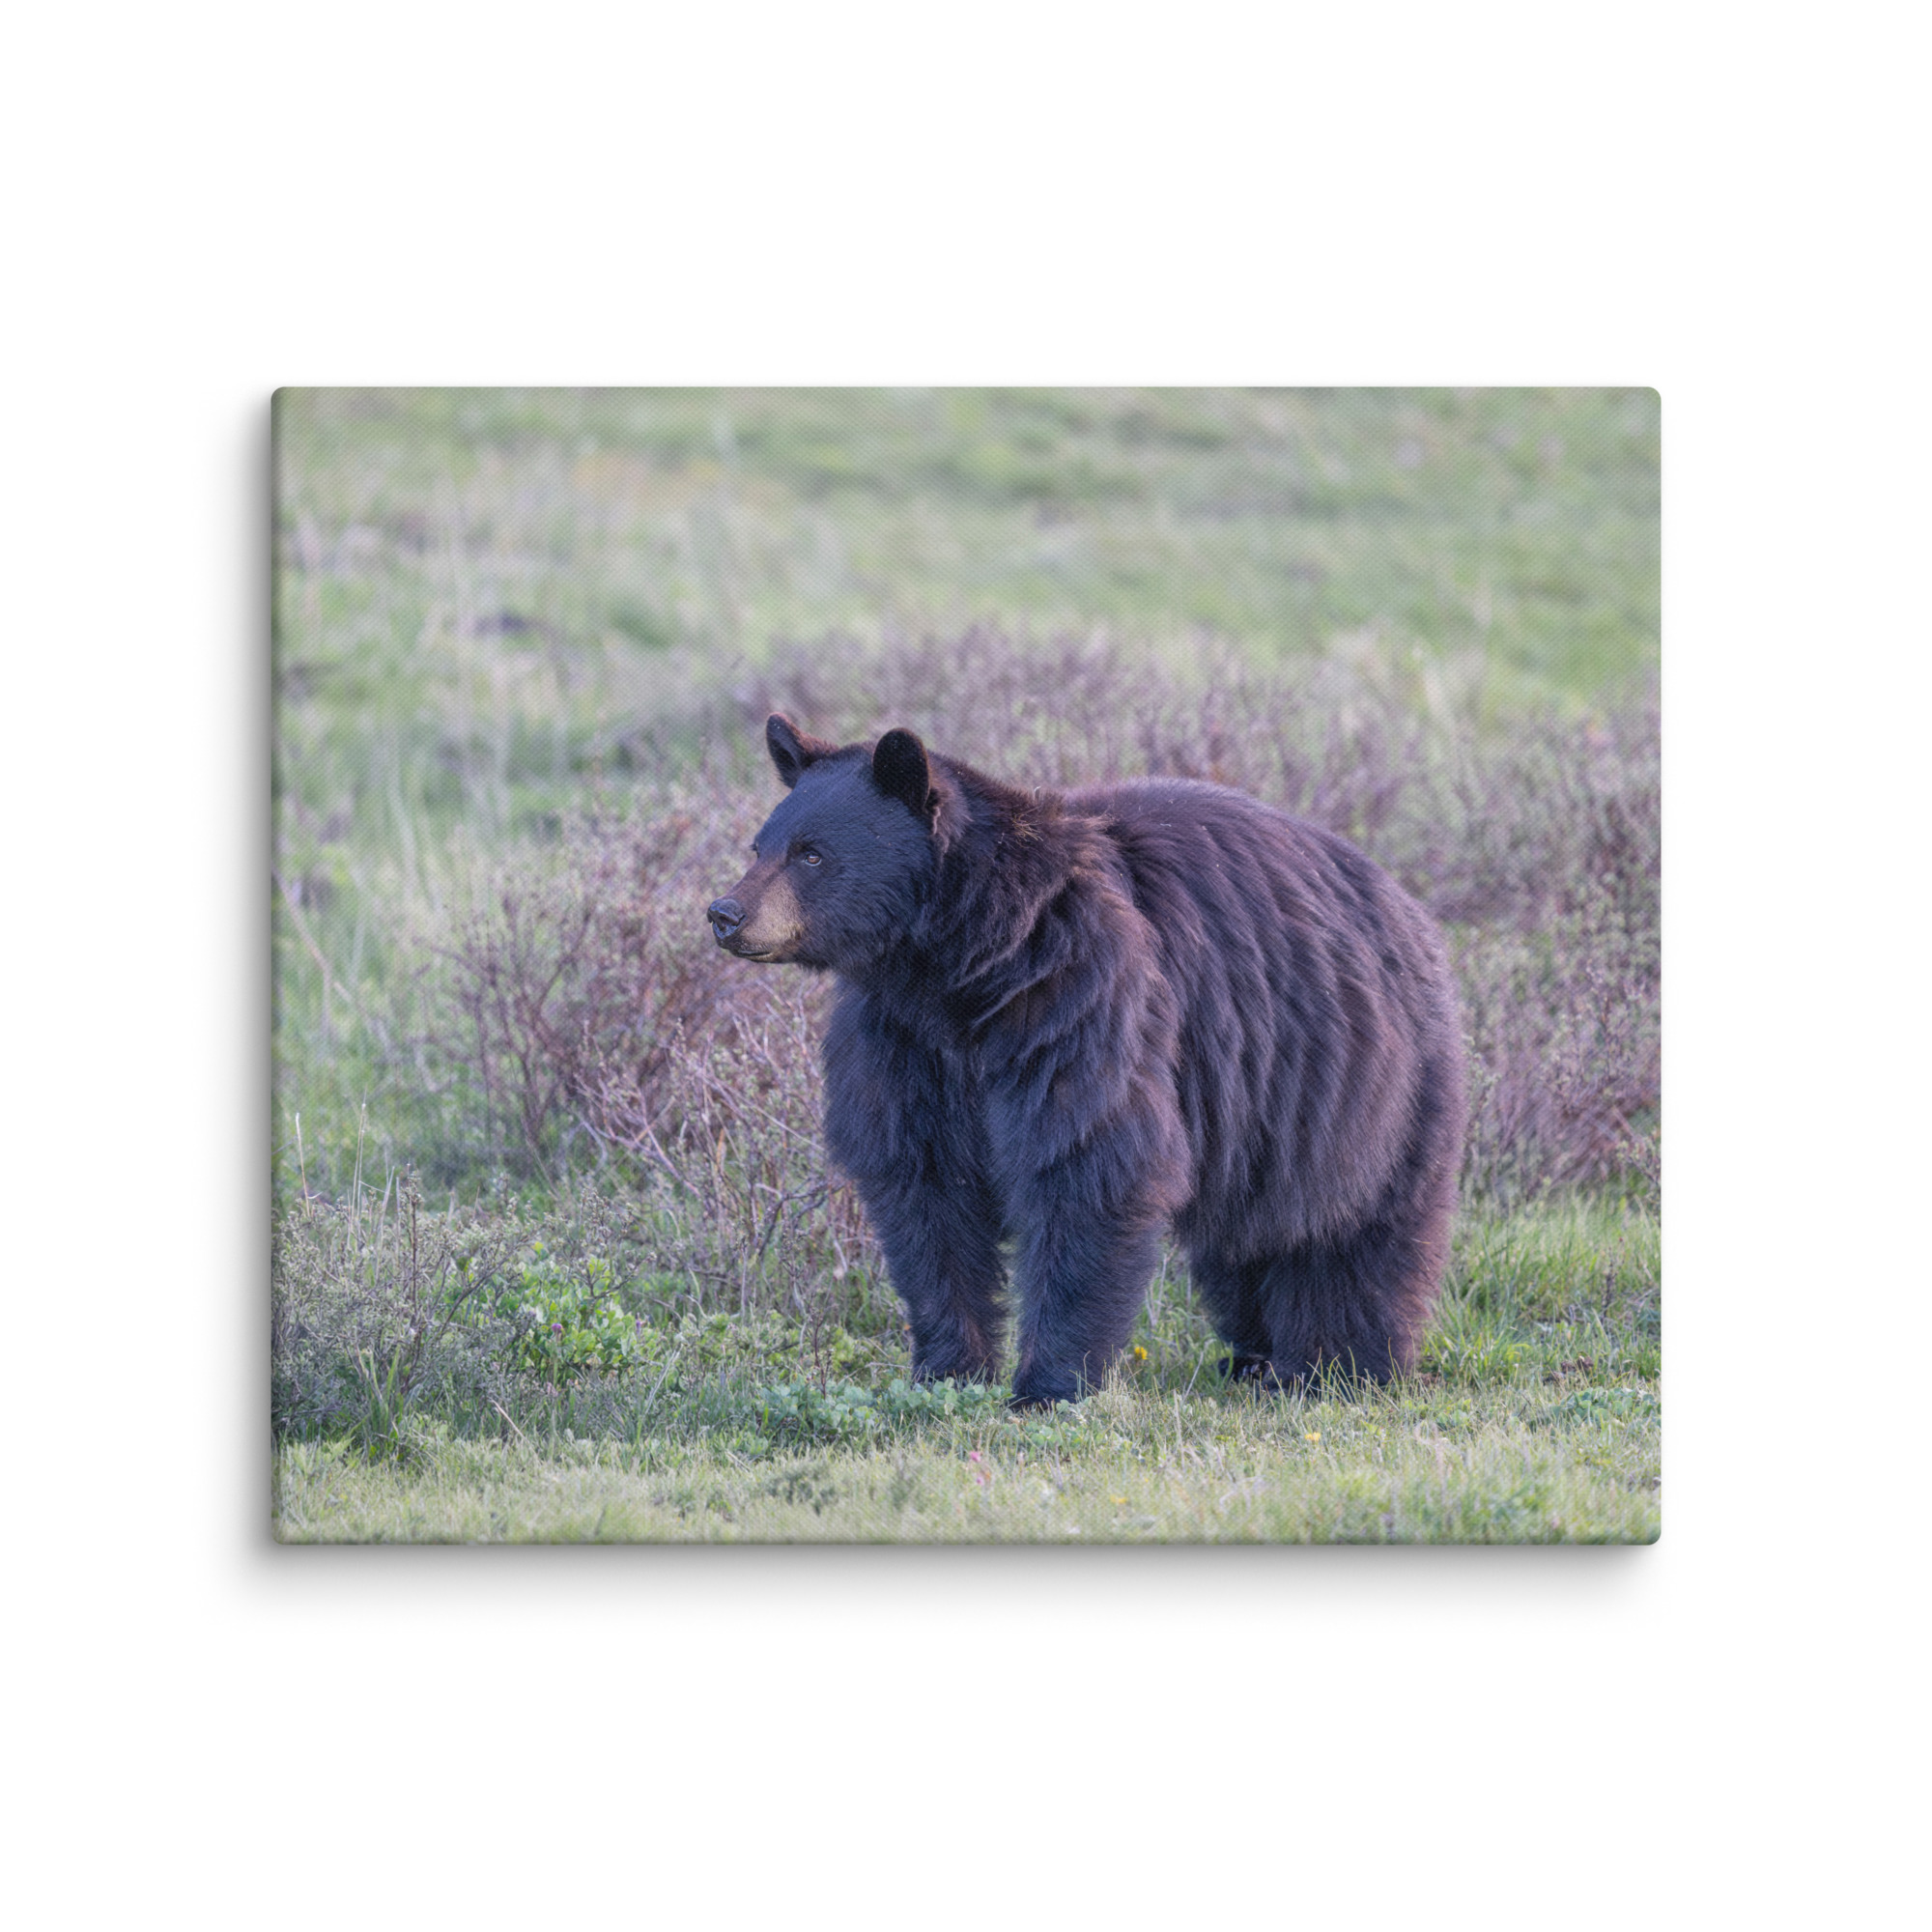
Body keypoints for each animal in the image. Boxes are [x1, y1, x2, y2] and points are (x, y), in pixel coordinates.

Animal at [707, 713, 1466, 1408]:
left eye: (811, 854)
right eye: (760, 844)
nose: (725, 912)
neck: (961, 967)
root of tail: (1406, 905)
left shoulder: (1078, 998)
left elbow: (1086, 1163)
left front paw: (1048, 1385)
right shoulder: (903, 1043)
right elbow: (924, 1189)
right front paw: (947, 1370)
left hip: (1362, 1083)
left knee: (1355, 1231)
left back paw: (1337, 1365)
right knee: (1248, 1240)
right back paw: (1254, 1357)